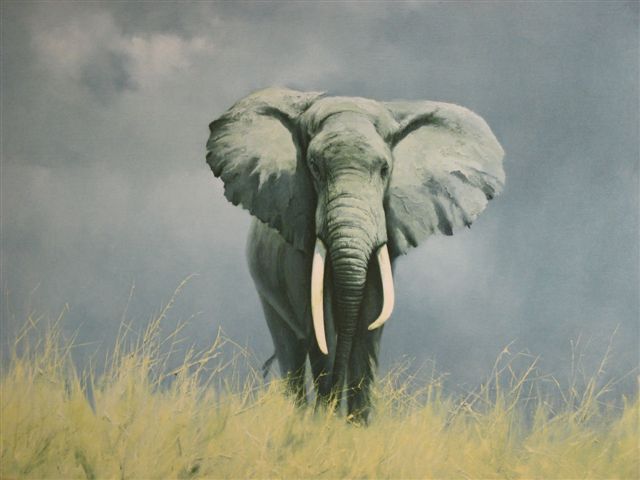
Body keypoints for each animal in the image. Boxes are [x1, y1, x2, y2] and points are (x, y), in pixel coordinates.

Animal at [205, 87, 504, 423]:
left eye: (385, 170)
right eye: (314, 167)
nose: (336, 411)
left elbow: (369, 325)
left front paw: (356, 427)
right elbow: (321, 327)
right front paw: (324, 424)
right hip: (264, 287)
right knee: (289, 350)